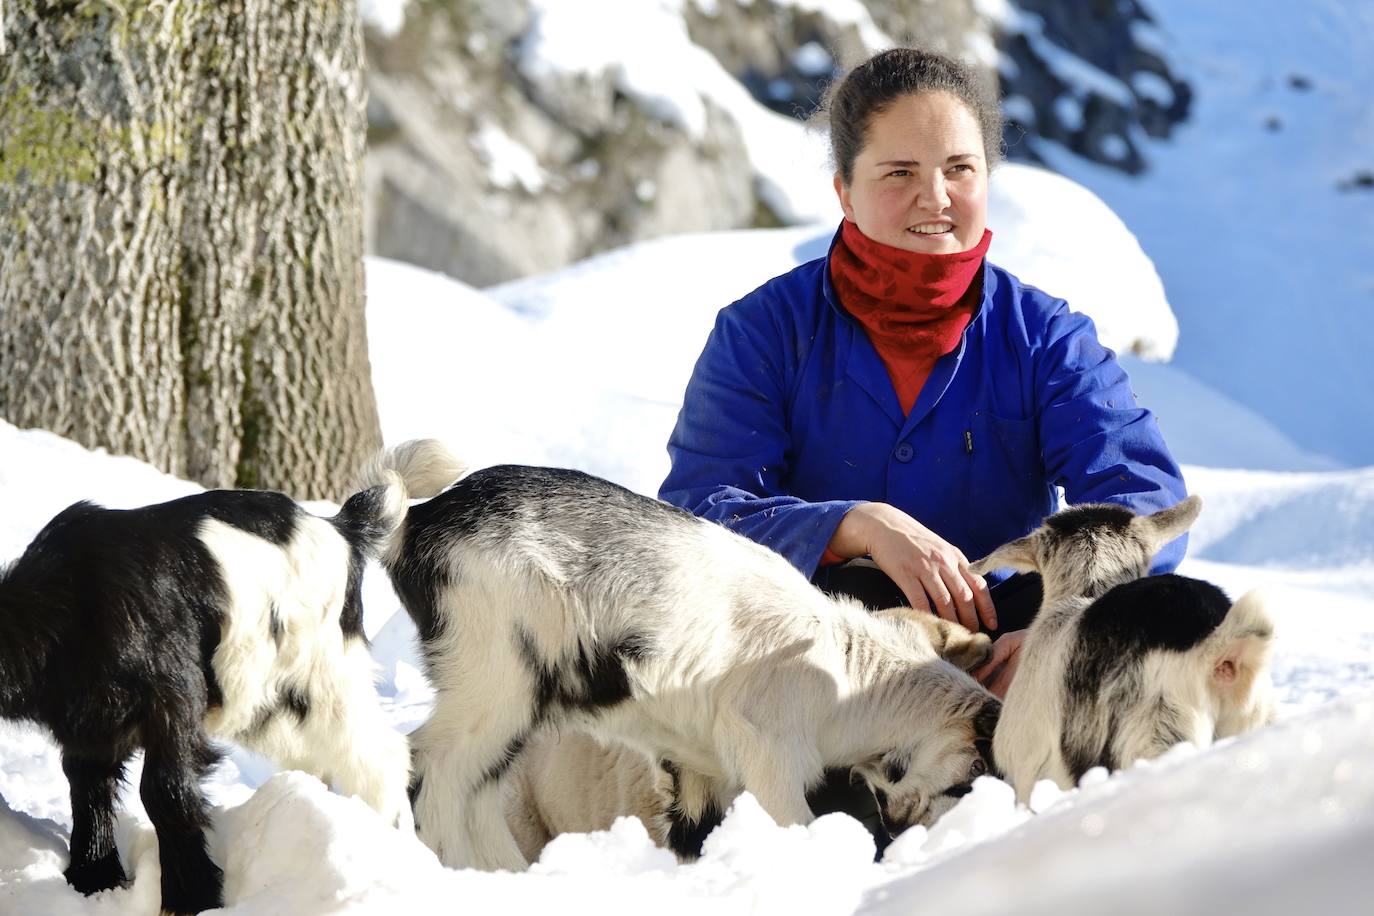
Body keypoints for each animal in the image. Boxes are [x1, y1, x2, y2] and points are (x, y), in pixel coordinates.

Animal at [0, 480, 423, 911]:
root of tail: (342, 529)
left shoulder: (173, 696)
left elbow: (164, 788)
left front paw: (192, 897)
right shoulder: (91, 724)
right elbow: (87, 784)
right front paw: (95, 880)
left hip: (325, 671)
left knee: (376, 756)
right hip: (264, 705)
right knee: (316, 756)